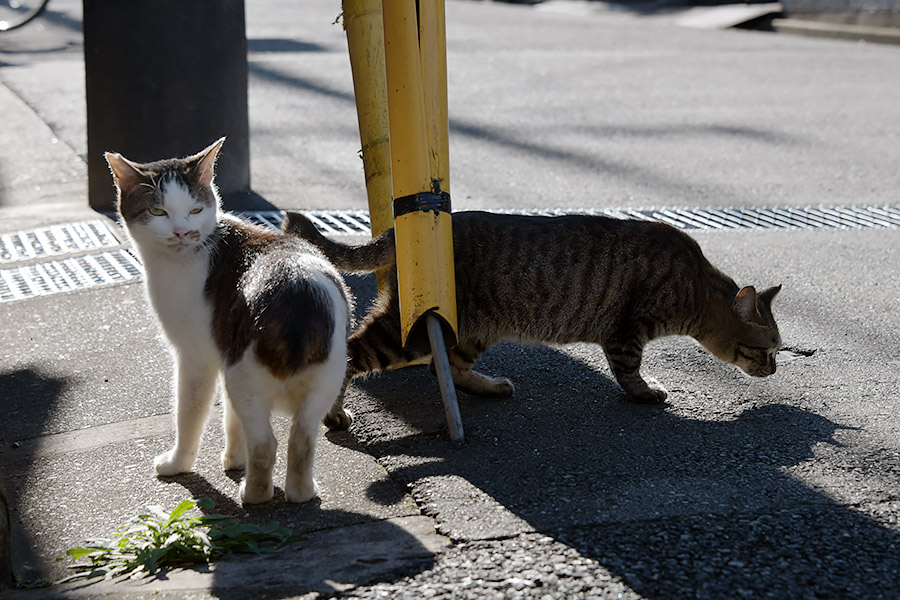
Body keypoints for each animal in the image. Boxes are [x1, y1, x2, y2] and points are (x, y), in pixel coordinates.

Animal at [106, 139, 352, 502]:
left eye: (195, 210)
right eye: (158, 212)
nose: (181, 232)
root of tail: (298, 290)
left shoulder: (196, 358)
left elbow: (190, 414)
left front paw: (178, 463)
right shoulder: (223, 350)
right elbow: (232, 419)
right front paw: (235, 459)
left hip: (246, 378)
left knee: (266, 444)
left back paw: (253, 494)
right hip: (325, 378)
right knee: (301, 439)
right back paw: (301, 491)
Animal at [282, 209, 780, 428]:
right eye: (768, 349)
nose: (775, 369)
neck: (695, 286)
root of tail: (398, 231)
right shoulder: (626, 331)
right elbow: (630, 371)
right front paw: (646, 392)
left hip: (472, 329)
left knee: (448, 368)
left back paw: (491, 386)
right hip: (413, 330)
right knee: (352, 352)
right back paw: (333, 412)